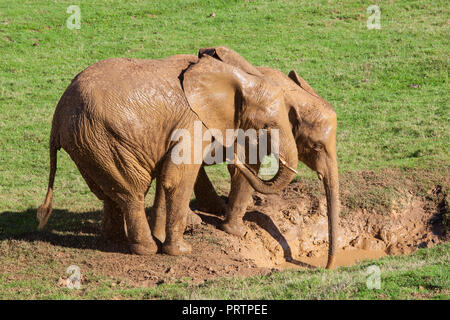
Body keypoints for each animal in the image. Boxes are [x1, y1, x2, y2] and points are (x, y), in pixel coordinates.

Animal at [37, 52, 298, 258]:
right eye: (268, 124)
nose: (235, 157)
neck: (233, 76)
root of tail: (58, 116)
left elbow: (166, 177)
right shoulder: (194, 122)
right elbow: (177, 177)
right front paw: (181, 251)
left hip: (89, 145)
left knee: (109, 192)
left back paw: (117, 241)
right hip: (101, 138)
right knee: (132, 192)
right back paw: (147, 249)